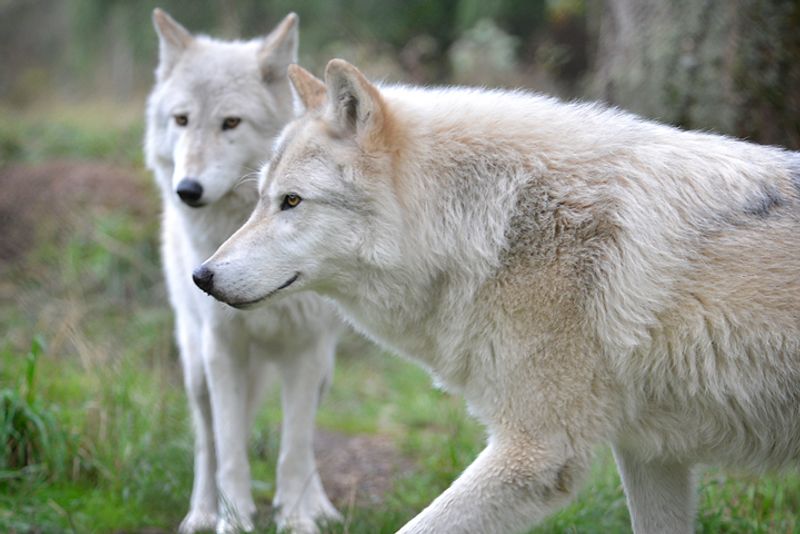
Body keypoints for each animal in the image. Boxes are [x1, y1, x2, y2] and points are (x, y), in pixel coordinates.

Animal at [144, 11, 342, 534]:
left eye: (230, 123)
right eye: (181, 119)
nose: (187, 189)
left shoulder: (307, 349)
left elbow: (294, 448)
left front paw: (296, 519)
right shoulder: (223, 347)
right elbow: (230, 450)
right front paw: (231, 520)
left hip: (324, 369)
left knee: (306, 444)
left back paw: (319, 506)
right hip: (196, 366)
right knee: (207, 443)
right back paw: (200, 513)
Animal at [195, 59, 800, 533]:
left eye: (292, 201)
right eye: (262, 198)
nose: (202, 276)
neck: (497, 226)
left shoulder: (535, 453)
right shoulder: (650, 454)